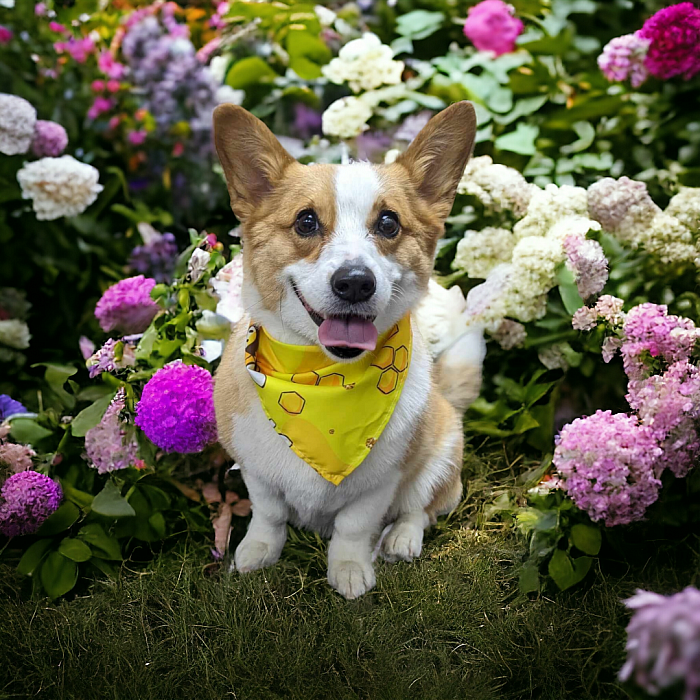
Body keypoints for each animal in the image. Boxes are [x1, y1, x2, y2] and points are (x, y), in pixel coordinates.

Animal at [215, 101, 486, 600]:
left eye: (388, 222)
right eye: (305, 221)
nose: (356, 282)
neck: (324, 381)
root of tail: (444, 396)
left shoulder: (380, 482)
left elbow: (353, 528)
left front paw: (349, 571)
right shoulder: (256, 471)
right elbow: (269, 515)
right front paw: (257, 553)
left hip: (440, 459)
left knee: (420, 510)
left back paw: (401, 540)